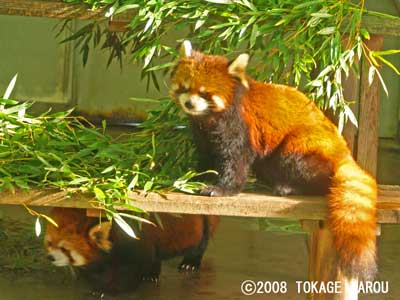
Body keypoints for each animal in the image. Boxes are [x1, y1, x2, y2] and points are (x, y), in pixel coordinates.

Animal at [45, 207, 220, 292]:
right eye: (49, 243)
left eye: (64, 248)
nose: (50, 258)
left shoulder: (136, 243)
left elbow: (132, 272)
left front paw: (109, 290)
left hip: (197, 227)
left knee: (198, 246)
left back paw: (190, 263)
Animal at [170, 40, 376, 284]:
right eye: (184, 87)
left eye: (205, 93)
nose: (190, 104)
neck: (209, 118)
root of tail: (342, 151)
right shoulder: (203, 136)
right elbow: (206, 159)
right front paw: (197, 176)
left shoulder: (239, 126)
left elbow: (236, 160)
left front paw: (221, 188)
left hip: (303, 145)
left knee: (301, 165)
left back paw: (288, 186)